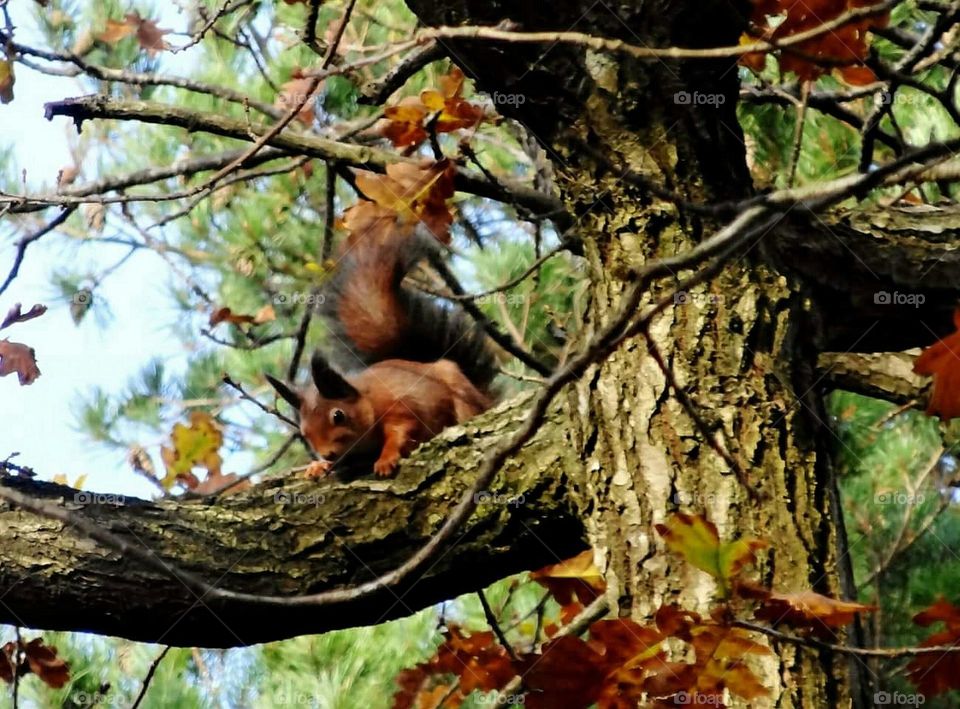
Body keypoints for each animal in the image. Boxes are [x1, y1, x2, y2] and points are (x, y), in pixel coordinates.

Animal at [268, 230, 498, 478]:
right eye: (304, 431)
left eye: (338, 415)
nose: (327, 453)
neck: (369, 399)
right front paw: (319, 465)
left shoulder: (401, 406)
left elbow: (400, 432)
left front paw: (386, 459)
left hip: (462, 394)